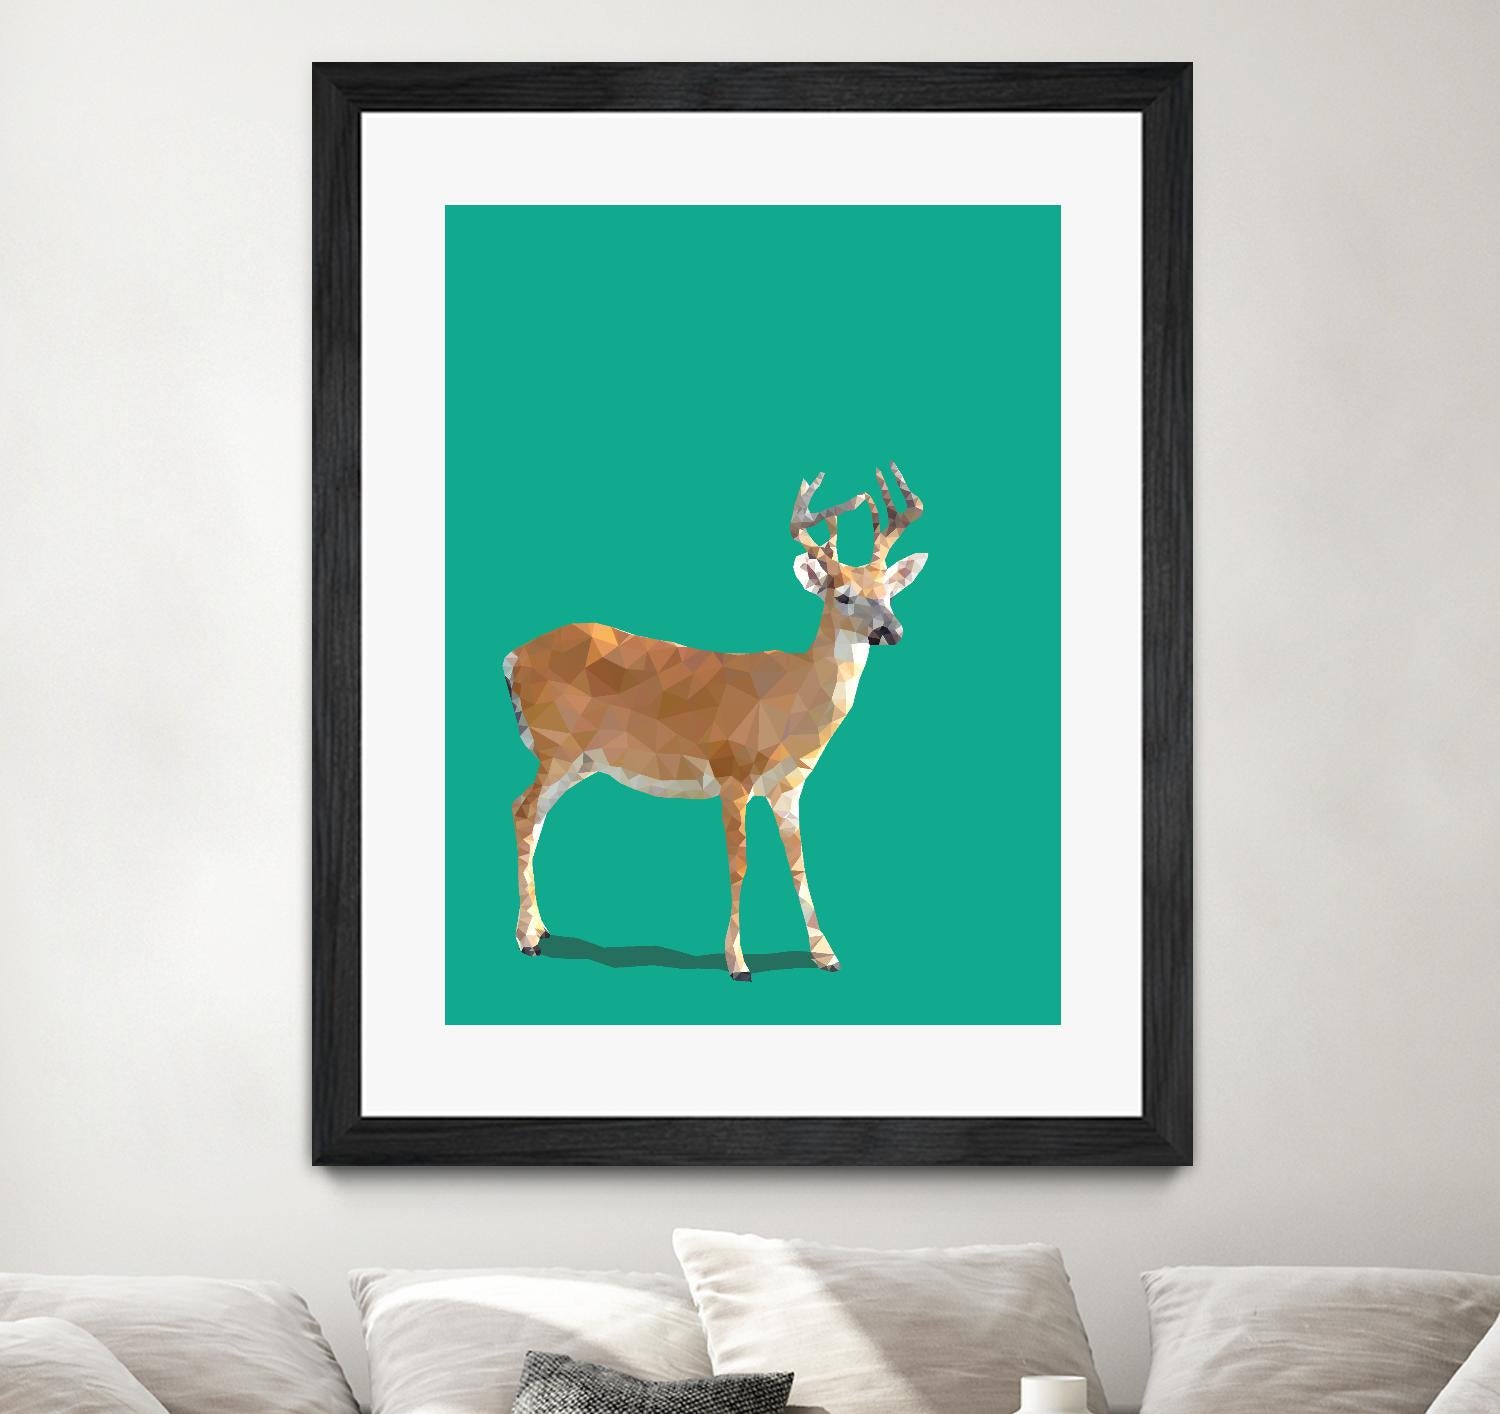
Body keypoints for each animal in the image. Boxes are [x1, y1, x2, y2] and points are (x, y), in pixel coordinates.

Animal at [502, 463, 928, 981]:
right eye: (843, 596)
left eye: (889, 593)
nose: (892, 631)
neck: (791, 703)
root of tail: (511, 657)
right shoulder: (732, 772)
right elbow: (740, 866)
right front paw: (738, 962)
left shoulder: (789, 788)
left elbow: (798, 864)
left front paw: (827, 954)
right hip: (557, 746)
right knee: (522, 811)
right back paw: (525, 939)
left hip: (578, 760)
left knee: (534, 816)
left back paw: (541, 929)